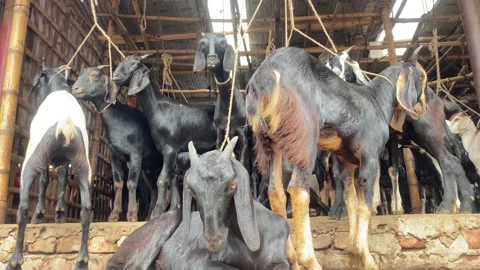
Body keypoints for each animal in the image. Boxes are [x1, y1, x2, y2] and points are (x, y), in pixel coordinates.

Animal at [8, 68, 91, 270]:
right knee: (86, 208)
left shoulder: (44, 160)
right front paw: (60, 213)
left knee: (23, 207)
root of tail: (65, 124)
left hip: (32, 160)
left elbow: (44, 181)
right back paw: (82, 260)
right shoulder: (66, 161)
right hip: (83, 164)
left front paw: (40, 213)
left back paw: (15, 260)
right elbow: (62, 181)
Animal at [72, 65, 163, 221]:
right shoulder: (115, 156)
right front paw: (113, 215)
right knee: (154, 190)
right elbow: (118, 184)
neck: (118, 120)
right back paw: (149, 216)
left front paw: (131, 215)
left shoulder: (135, 155)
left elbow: (131, 184)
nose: (75, 89)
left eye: (94, 75)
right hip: (148, 170)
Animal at [112, 56, 216, 218]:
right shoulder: (170, 152)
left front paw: (157, 212)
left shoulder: (170, 149)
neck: (159, 109)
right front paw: (174, 207)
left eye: (134, 63)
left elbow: (162, 179)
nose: (115, 76)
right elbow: (172, 179)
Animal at [248, 45, 428, 268]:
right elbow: (365, 206)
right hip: (305, 139)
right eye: (421, 76)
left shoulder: (346, 162)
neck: (377, 101)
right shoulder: (369, 157)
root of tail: (266, 75)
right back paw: (309, 261)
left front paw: (351, 255)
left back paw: (291, 260)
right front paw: (367, 259)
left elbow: (352, 203)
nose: (424, 107)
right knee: (298, 189)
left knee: (275, 191)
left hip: (272, 144)